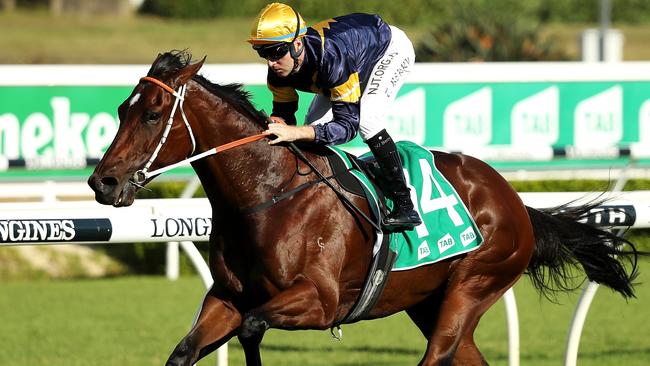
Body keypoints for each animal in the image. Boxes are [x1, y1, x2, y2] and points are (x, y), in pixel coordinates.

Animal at [88, 50, 640, 364]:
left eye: (153, 113)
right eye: (120, 109)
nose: (102, 180)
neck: (265, 196)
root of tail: (516, 202)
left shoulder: (319, 301)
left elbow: (253, 328)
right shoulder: (226, 298)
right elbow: (186, 351)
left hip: (476, 284)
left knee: (437, 356)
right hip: (429, 301)